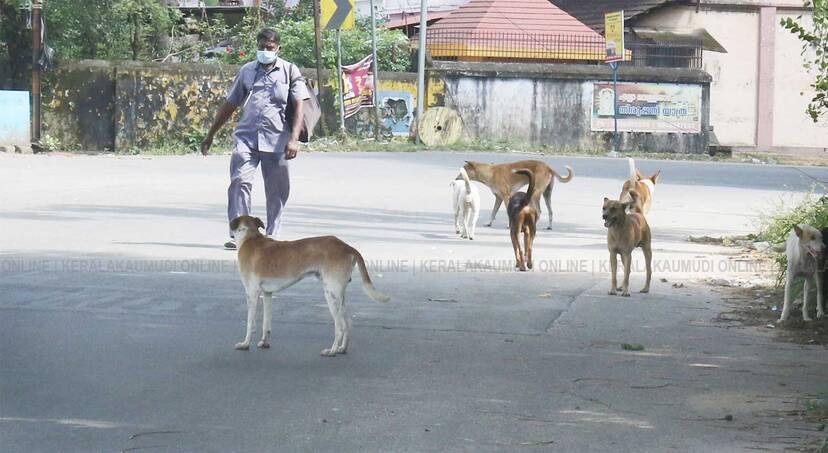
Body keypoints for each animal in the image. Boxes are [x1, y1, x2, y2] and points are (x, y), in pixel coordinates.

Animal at [230, 214, 392, 354]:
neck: (250, 237)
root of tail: (347, 247)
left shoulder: (251, 293)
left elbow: (250, 324)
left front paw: (245, 344)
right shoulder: (267, 294)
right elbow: (266, 324)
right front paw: (264, 342)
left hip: (331, 296)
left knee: (340, 326)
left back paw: (332, 351)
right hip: (339, 297)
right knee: (348, 324)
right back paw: (342, 349)